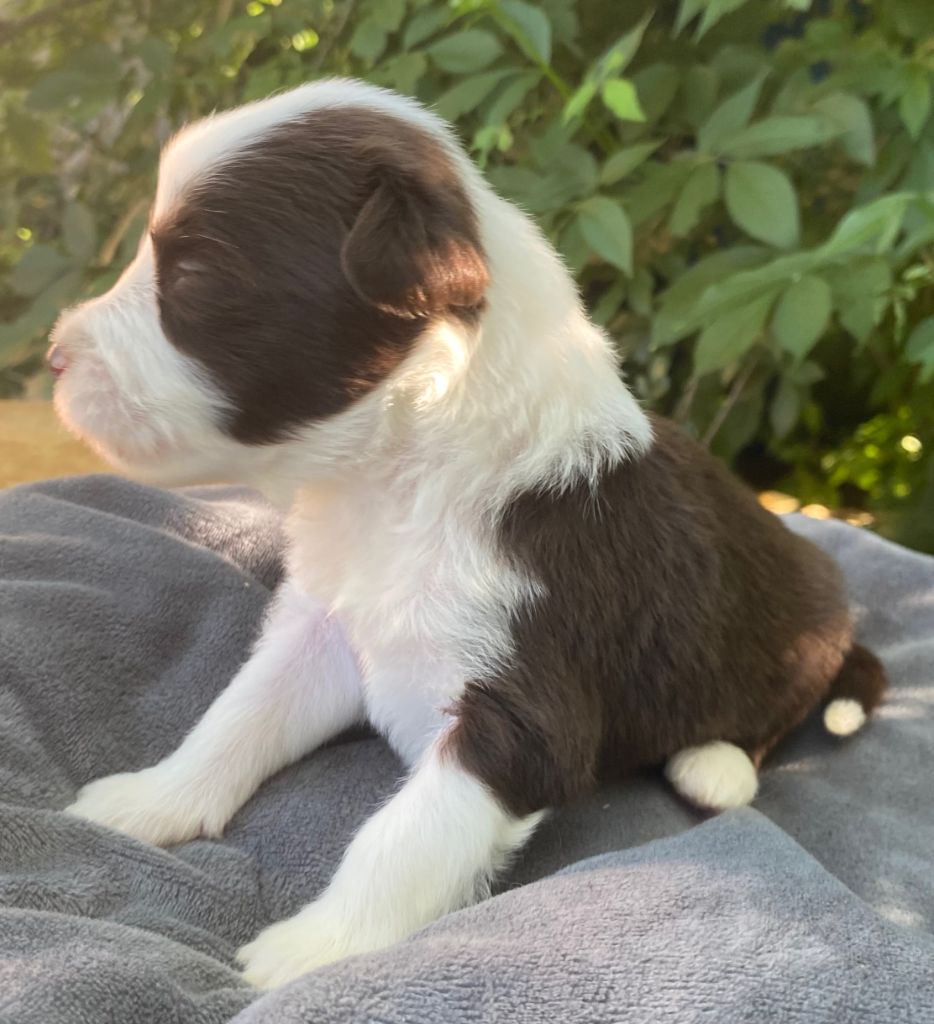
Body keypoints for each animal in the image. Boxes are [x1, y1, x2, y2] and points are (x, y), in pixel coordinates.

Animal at [49, 78, 888, 988]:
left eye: (195, 275)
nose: (54, 354)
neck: (393, 480)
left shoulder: (516, 718)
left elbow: (399, 839)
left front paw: (313, 952)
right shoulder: (327, 627)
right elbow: (235, 715)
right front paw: (149, 800)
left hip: (802, 620)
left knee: (777, 706)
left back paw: (717, 763)